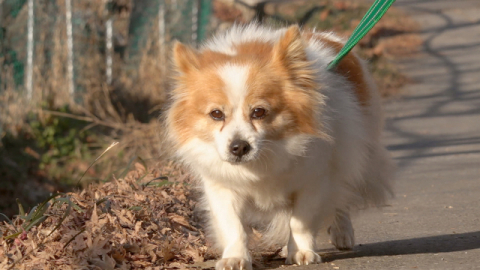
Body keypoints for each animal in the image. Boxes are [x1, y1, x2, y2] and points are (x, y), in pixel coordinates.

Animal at [164, 24, 394, 268]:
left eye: (259, 112)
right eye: (216, 114)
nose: (239, 147)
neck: (261, 161)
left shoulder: (314, 181)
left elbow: (301, 222)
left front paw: (302, 251)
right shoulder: (222, 187)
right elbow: (233, 225)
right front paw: (235, 256)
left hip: (350, 156)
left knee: (341, 198)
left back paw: (342, 232)